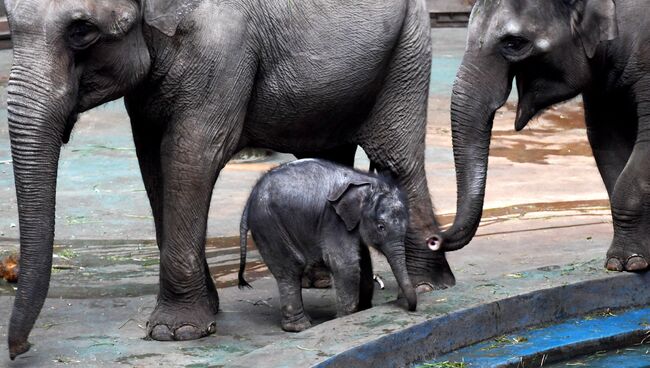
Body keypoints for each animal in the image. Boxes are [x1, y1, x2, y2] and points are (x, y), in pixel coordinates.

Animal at [238, 160, 416, 332]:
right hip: (268, 224)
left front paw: (364, 309)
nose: (410, 308)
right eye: (381, 227)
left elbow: (363, 260)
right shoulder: (332, 218)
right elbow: (345, 263)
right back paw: (300, 327)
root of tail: (249, 200)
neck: (367, 181)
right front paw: (344, 318)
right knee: (290, 267)